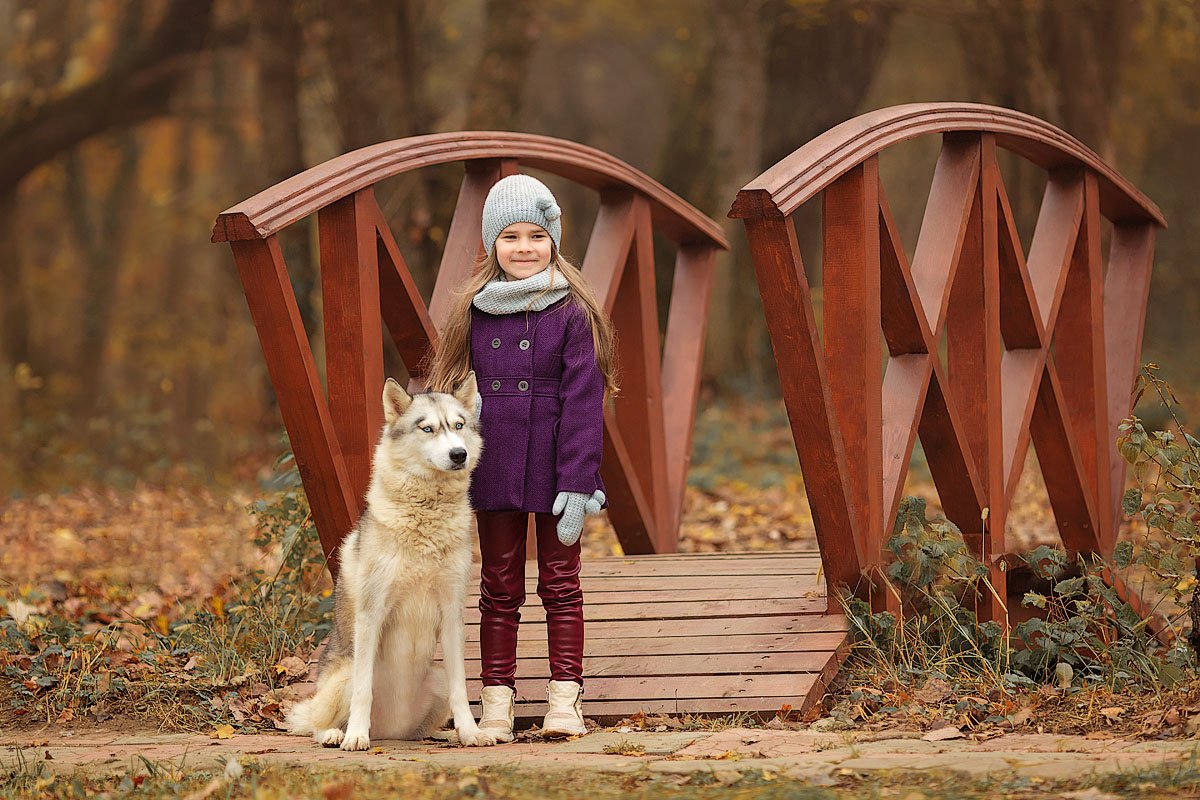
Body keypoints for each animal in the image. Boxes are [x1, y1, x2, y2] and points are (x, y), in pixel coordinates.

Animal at [283, 376, 494, 753]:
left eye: (458, 426)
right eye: (427, 428)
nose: (459, 454)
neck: (426, 517)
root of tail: (389, 732)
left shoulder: (452, 615)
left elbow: (462, 691)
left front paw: (470, 733)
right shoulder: (372, 614)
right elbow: (363, 693)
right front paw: (355, 736)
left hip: (437, 677)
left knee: (424, 726)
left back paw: (441, 734)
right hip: (344, 674)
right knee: (314, 725)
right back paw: (338, 734)